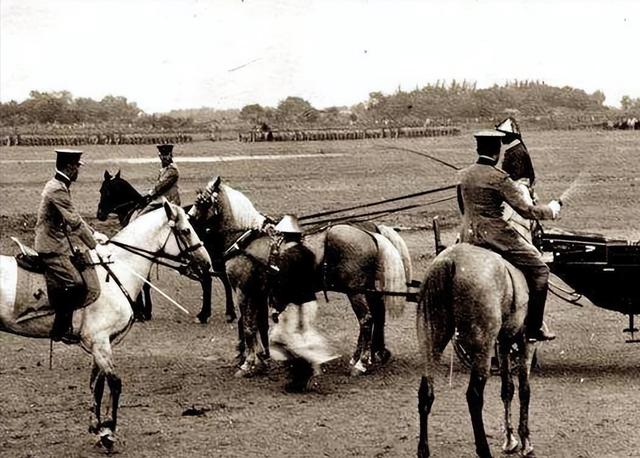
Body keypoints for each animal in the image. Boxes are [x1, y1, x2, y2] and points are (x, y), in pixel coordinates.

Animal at [0, 202, 212, 450]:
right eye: (186, 230)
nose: (206, 263)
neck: (118, 271)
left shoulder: (101, 343)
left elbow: (97, 384)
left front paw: (97, 426)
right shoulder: (100, 341)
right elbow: (115, 383)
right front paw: (108, 431)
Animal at [95, 170, 235, 324]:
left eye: (104, 190)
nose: (99, 214)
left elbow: (145, 283)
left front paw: (141, 312)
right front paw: (144, 311)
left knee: (208, 280)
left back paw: (204, 314)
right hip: (213, 258)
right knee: (224, 279)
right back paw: (230, 313)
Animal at [188, 176, 408, 376]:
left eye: (201, 201)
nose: (188, 220)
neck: (245, 240)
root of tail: (370, 234)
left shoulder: (243, 291)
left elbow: (249, 326)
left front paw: (247, 364)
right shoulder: (258, 292)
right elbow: (257, 325)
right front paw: (260, 358)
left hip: (355, 290)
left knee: (366, 320)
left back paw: (361, 363)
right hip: (366, 288)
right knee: (375, 315)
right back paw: (363, 356)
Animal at [418, 242, 536, 456]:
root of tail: (451, 260)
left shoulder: (504, 342)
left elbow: (507, 388)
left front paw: (510, 439)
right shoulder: (526, 342)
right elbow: (524, 390)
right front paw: (525, 441)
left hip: (432, 340)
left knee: (425, 393)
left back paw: (423, 450)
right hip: (483, 348)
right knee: (474, 397)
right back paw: (483, 449)